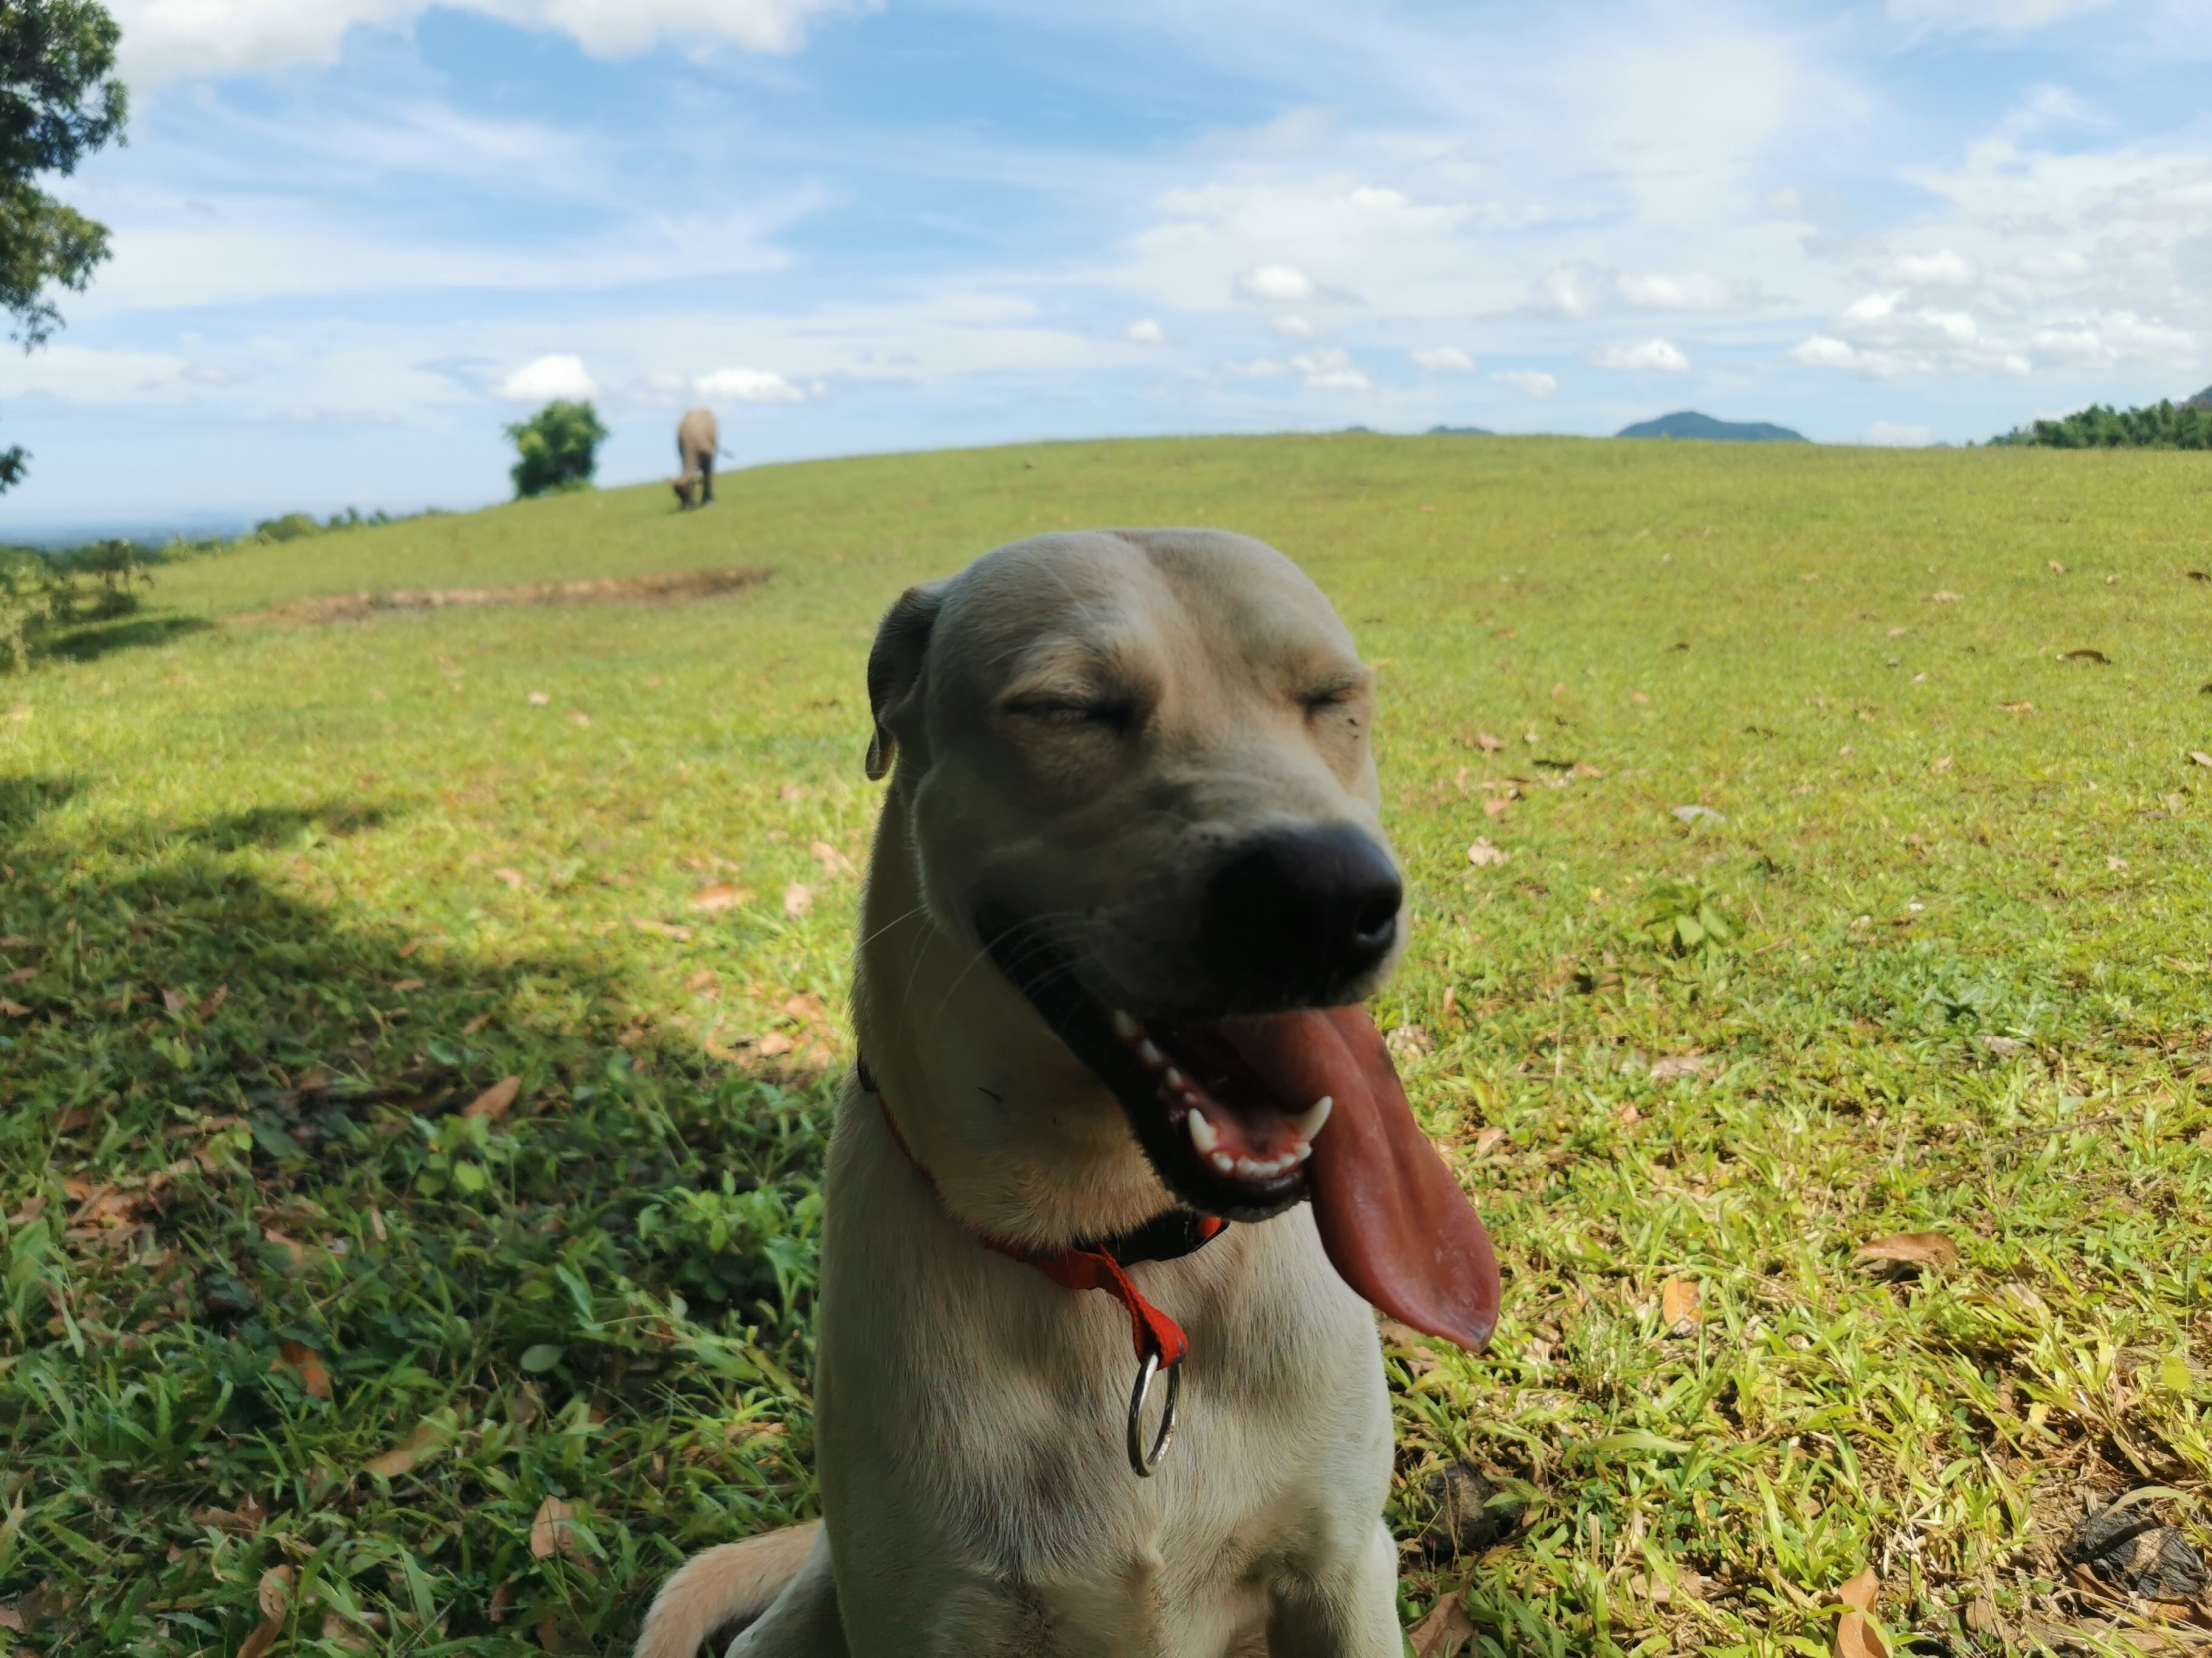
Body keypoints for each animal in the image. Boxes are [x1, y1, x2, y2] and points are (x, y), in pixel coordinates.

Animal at [641, 533, 1504, 1658]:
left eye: (1332, 700)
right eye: (1069, 708)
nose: (1329, 899)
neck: (1116, 1260)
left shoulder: (1344, 1569)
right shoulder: (925, 1613)